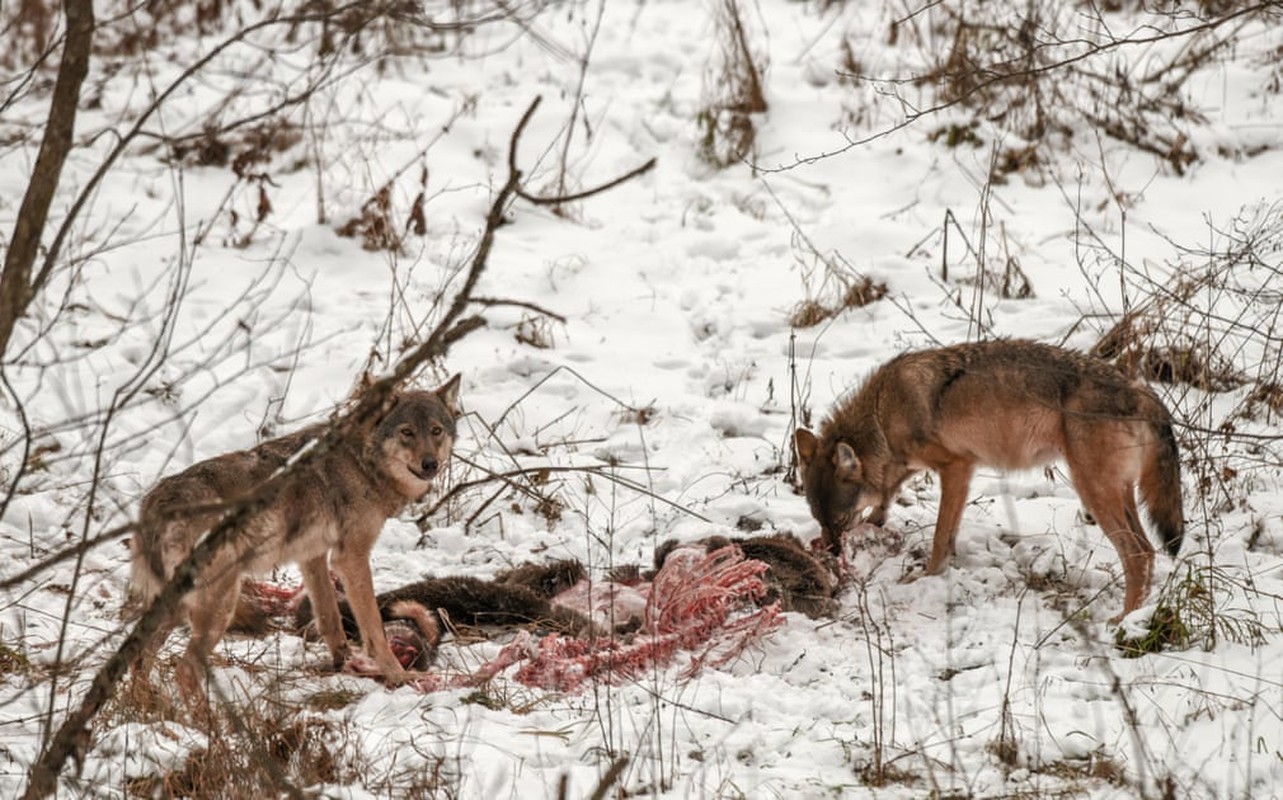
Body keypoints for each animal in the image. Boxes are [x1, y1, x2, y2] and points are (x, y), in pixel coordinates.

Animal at [128, 376, 461, 697]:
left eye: (436, 431)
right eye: (407, 432)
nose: (430, 464)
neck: (361, 462)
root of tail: (154, 503)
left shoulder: (312, 556)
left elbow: (330, 619)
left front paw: (343, 662)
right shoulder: (350, 558)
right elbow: (374, 629)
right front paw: (397, 676)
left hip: (175, 609)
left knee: (139, 659)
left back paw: (149, 707)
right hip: (218, 605)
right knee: (184, 670)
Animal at [795, 341, 1185, 623]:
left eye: (840, 519)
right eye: (819, 519)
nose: (831, 553)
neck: (882, 414)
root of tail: (1143, 393)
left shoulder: (956, 466)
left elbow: (940, 537)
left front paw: (925, 576)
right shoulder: (953, 474)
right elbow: (903, 513)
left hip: (1093, 492)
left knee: (1136, 553)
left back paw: (1124, 621)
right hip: (1117, 493)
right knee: (1148, 550)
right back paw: (1138, 616)